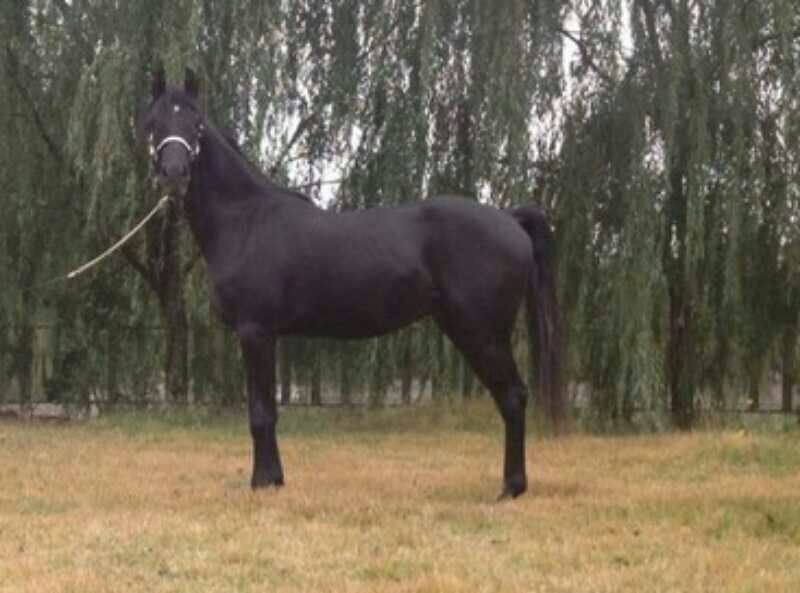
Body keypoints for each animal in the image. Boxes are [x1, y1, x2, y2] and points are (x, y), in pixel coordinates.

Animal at [141, 66, 565, 500]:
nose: (174, 175)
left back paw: (511, 488)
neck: (245, 219)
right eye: (152, 122)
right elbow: (267, 410)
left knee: (512, 397)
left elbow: (260, 413)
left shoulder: (255, 331)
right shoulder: (264, 334)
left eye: (197, 125)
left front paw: (263, 482)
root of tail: (509, 218)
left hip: (482, 332)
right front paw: (274, 478)